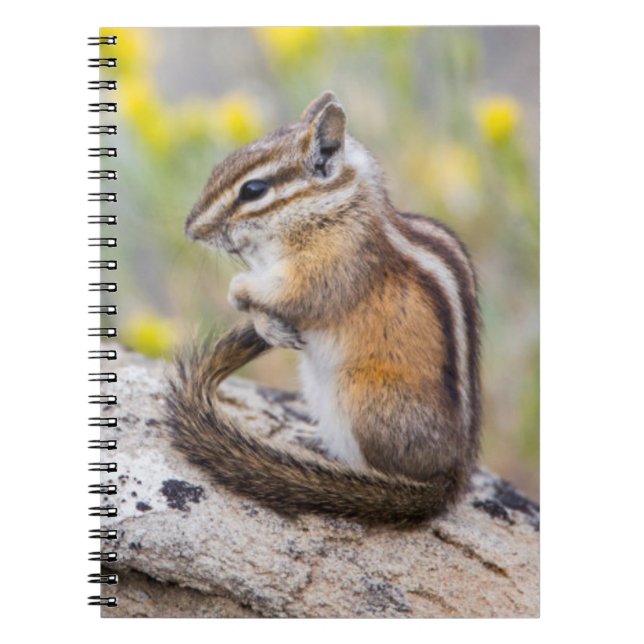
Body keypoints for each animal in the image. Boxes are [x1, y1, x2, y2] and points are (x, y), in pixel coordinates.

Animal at [167, 91, 481, 525]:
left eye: (253, 190)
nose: (191, 229)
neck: (331, 208)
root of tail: (452, 477)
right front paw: (266, 325)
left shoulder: (327, 270)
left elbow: (290, 294)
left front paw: (239, 291)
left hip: (359, 394)